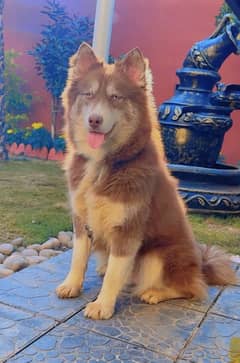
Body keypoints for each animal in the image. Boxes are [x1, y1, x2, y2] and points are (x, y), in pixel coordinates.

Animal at [55, 42, 236, 320]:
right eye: (88, 94)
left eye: (115, 97)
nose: (94, 120)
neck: (104, 163)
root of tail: (201, 266)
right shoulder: (81, 219)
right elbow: (78, 257)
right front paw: (72, 285)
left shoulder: (128, 228)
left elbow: (114, 274)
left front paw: (103, 305)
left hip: (156, 256)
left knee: (191, 289)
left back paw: (154, 293)